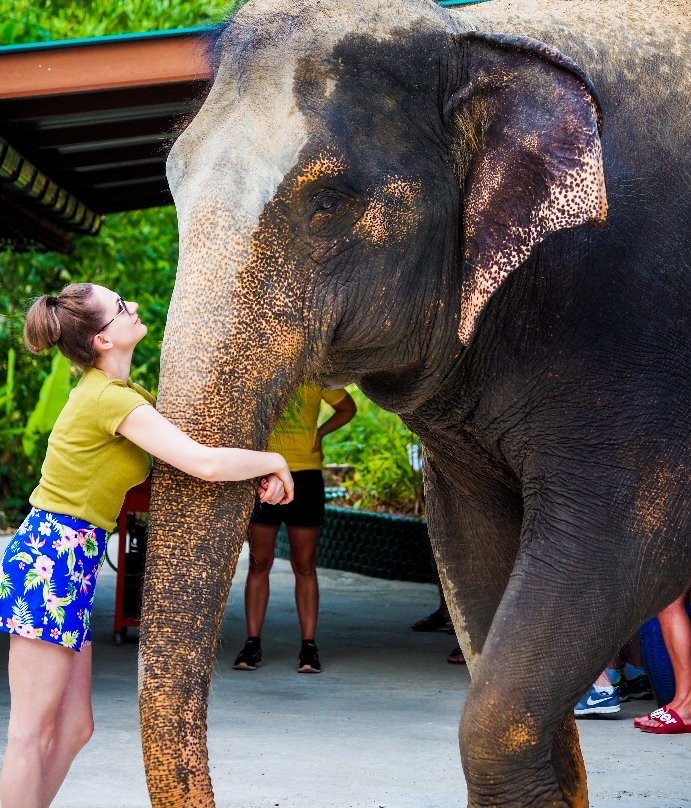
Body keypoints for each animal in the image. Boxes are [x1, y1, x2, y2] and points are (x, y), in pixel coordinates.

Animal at [139, 0, 690, 805]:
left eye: (328, 202)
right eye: (172, 185)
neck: (468, 40)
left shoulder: (637, 341)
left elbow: (624, 546)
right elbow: (473, 561)